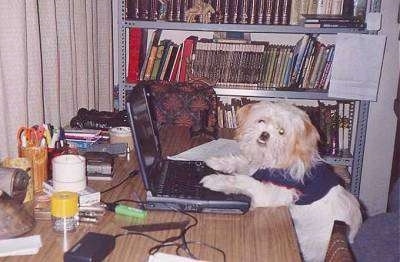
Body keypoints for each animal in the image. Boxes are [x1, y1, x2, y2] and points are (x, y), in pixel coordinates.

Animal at [200, 101, 362, 262]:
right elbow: (241, 163)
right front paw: (218, 162)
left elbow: (244, 181)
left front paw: (215, 180)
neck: (276, 161)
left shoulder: (270, 193)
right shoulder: (256, 167)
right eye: (261, 121)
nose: (265, 134)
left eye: (282, 132)